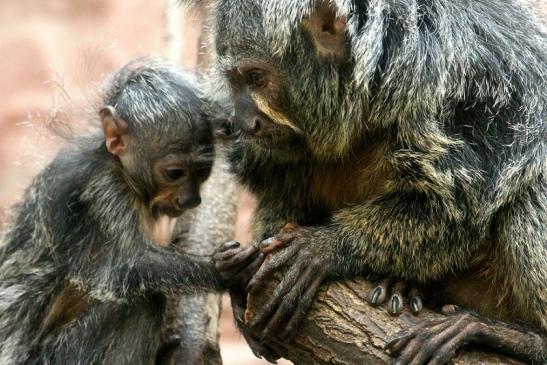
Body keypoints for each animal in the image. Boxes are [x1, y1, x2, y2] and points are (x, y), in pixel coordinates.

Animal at [0, 58, 225, 362]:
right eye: (175, 173)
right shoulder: (100, 190)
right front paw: (230, 273)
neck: (117, 165)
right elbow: (132, 264)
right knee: (145, 300)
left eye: (202, 173)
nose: (190, 200)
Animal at [195, 0, 544, 362]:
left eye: (257, 78)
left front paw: (324, 246)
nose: (243, 121)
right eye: (236, 83)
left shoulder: (457, 97)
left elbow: (458, 211)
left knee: (529, 186)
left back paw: (509, 336)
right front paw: (237, 275)